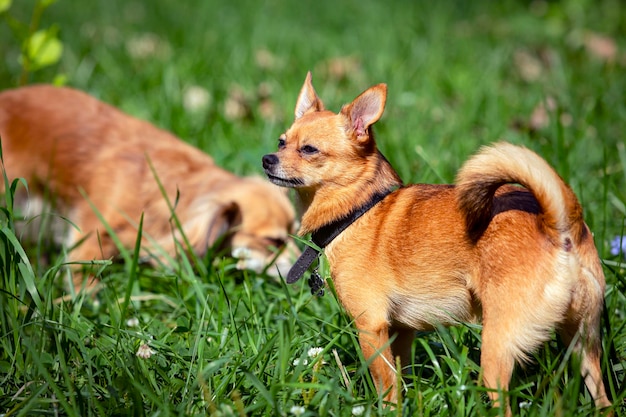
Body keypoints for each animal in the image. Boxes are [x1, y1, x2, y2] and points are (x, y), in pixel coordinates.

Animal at [260, 72, 608, 412]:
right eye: (281, 142)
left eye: (309, 149)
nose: (267, 158)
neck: (358, 211)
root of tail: (557, 225)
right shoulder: (400, 331)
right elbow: (400, 376)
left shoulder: (371, 327)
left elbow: (386, 388)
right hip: (583, 343)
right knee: (603, 397)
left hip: (497, 351)